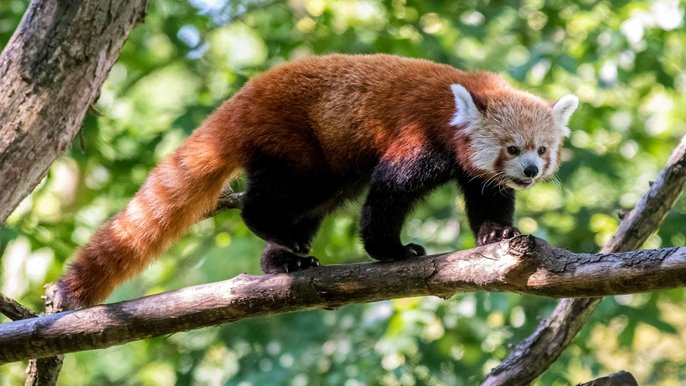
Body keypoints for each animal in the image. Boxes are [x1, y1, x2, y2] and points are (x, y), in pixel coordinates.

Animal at [56, 54, 576, 310]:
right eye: (512, 148)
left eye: (541, 150)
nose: (531, 172)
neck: (458, 111)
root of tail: (243, 99)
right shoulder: (419, 137)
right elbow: (389, 192)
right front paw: (392, 250)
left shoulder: (475, 170)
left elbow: (488, 197)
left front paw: (497, 233)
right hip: (297, 144)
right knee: (278, 196)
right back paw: (272, 230)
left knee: (318, 203)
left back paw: (283, 261)